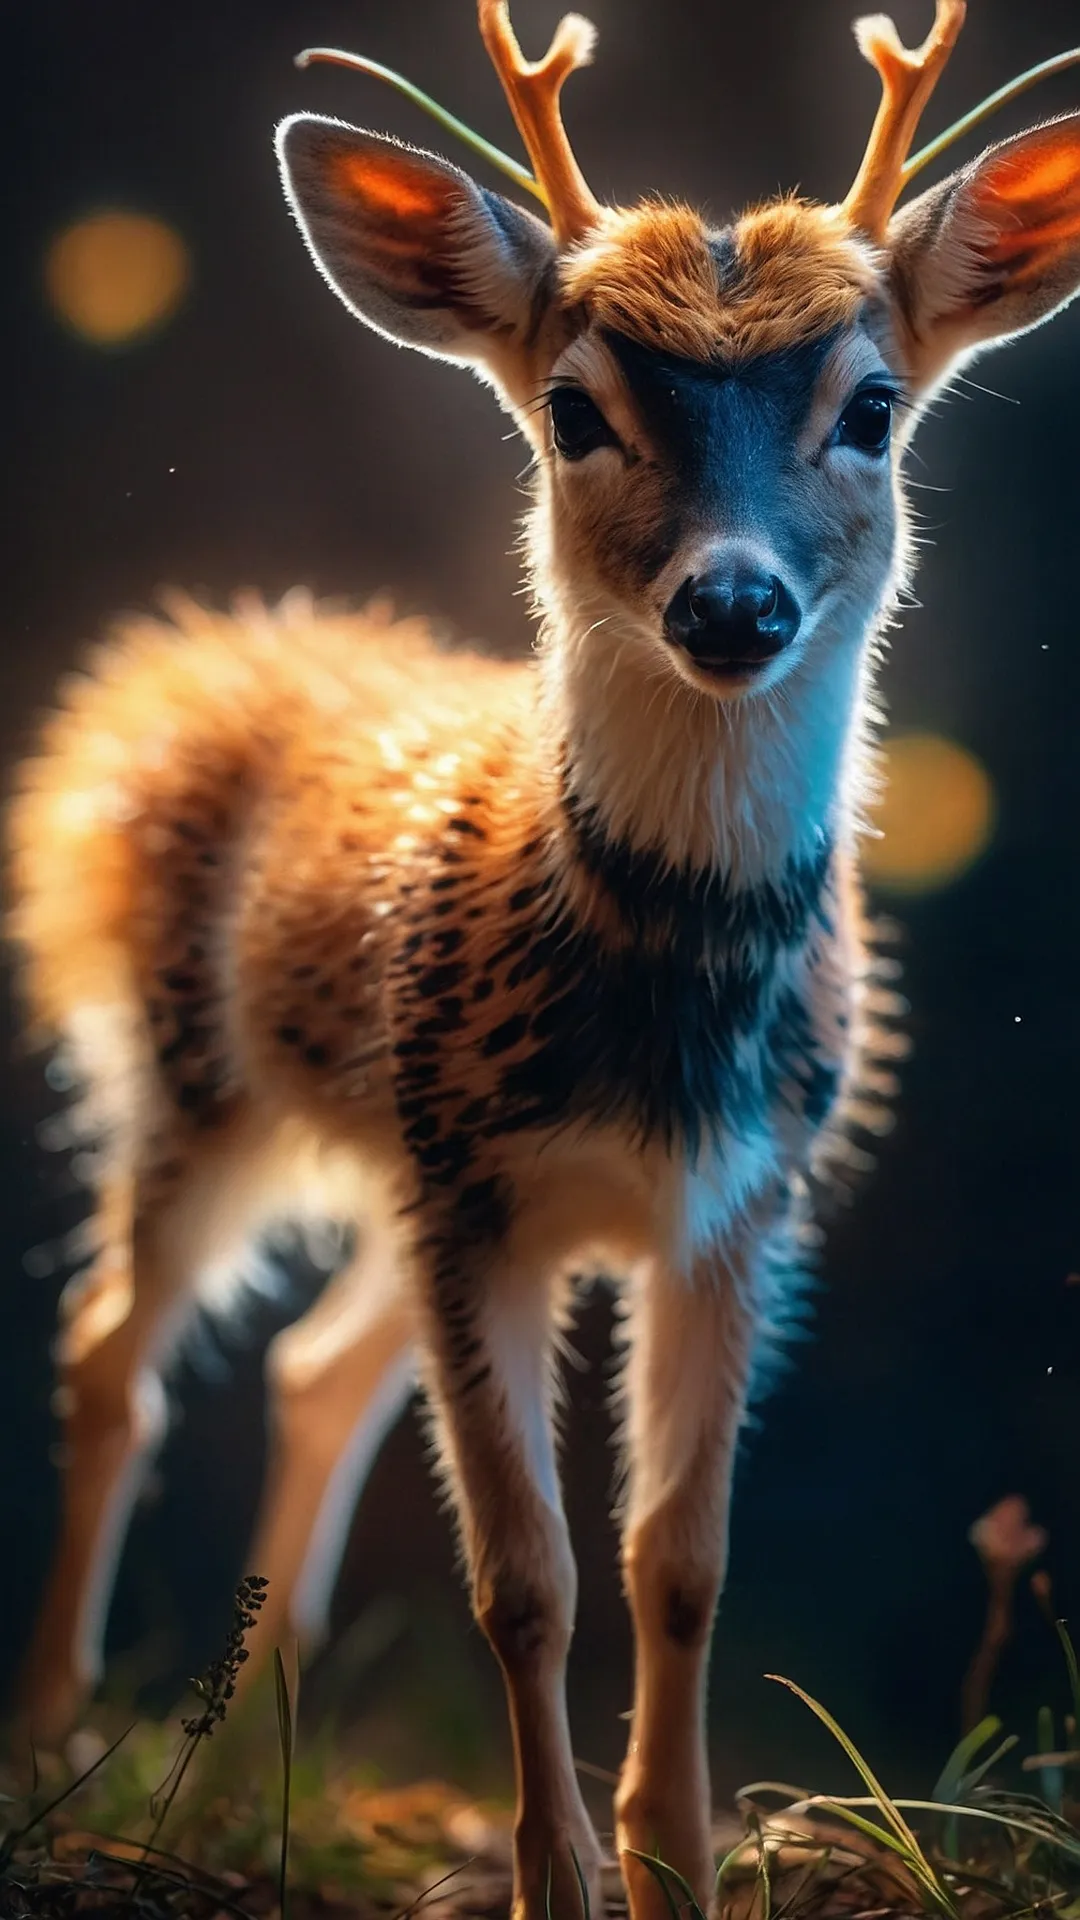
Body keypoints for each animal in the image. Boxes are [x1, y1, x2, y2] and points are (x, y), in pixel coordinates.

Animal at [8, 0, 1080, 1912]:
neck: (655, 1011)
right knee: (111, 1348)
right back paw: (57, 1737)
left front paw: (680, 1865)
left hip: (382, 1168)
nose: (733, 603)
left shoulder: (739, 1202)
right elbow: (526, 1576)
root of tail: (180, 669)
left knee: (314, 1365)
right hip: (197, 1085)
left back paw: (265, 1756)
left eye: (873, 407)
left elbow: (678, 1561)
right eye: (577, 408)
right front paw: (556, 1880)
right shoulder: (473, 1182)